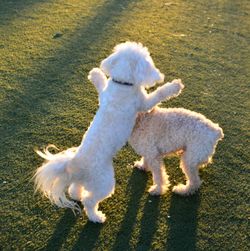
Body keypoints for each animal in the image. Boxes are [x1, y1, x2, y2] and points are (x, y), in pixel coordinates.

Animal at [34, 41, 184, 224]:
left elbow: (101, 85)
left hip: (85, 180)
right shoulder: (142, 103)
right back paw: (96, 216)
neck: (121, 83)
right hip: (104, 183)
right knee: (89, 200)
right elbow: (158, 95)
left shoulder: (104, 95)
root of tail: (75, 164)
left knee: (75, 189)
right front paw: (174, 86)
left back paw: (77, 194)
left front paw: (95, 74)